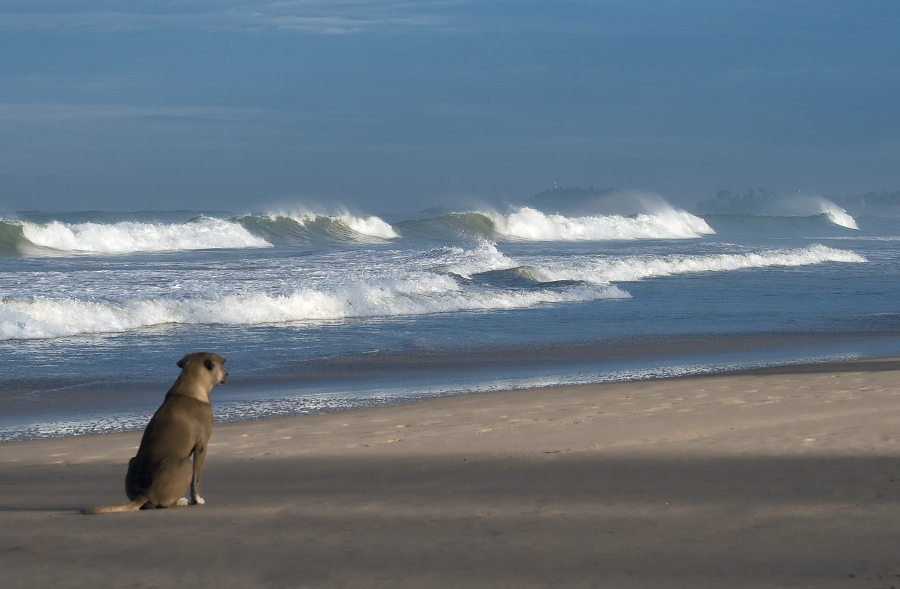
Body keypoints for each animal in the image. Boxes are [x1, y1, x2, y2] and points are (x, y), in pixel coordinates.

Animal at [83, 352, 229, 512]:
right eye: (220, 366)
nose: (227, 374)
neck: (189, 389)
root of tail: (142, 494)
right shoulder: (201, 446)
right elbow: (195, 480)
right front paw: (196, 499)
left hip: (132, 462)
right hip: (184, 463)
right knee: (167, 504)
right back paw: (181, 501)